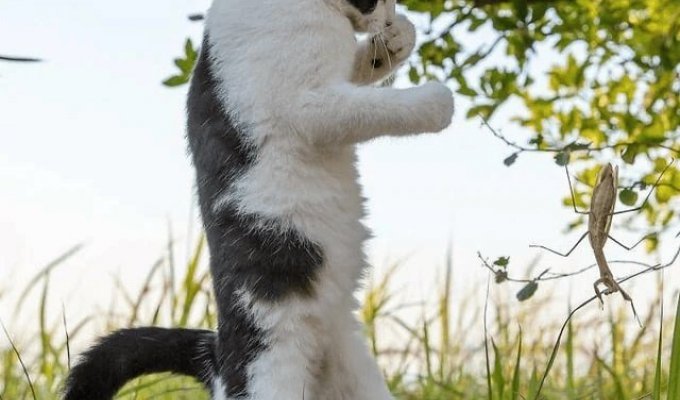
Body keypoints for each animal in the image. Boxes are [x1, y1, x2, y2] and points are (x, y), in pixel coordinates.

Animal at [63, 0, 452, 396]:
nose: (388, 15)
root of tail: (217, 356)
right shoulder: (311, 106)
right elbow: (376, 107)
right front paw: (438, 99)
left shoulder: (337, 78)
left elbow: (362, 68)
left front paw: (396, 39)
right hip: (272, 371)